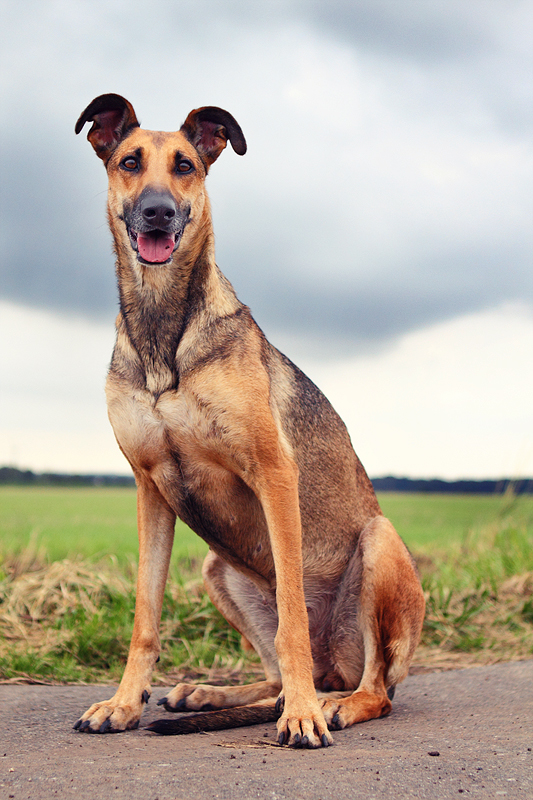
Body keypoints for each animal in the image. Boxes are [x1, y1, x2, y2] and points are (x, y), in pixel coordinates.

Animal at [74, 95, 424, 752]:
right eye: (130, 161)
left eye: (185, 165)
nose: (158, 213)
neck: (163, 328)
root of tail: (334, 668)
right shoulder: (150, 489)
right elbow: (145, 617)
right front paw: (124, 704)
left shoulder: (273, 473)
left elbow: (291, 619)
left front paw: (305, 719)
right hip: (218, 568)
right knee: (279, 678)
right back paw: (211, 693)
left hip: (379, 542)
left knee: (370, 689)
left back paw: (331, 704)